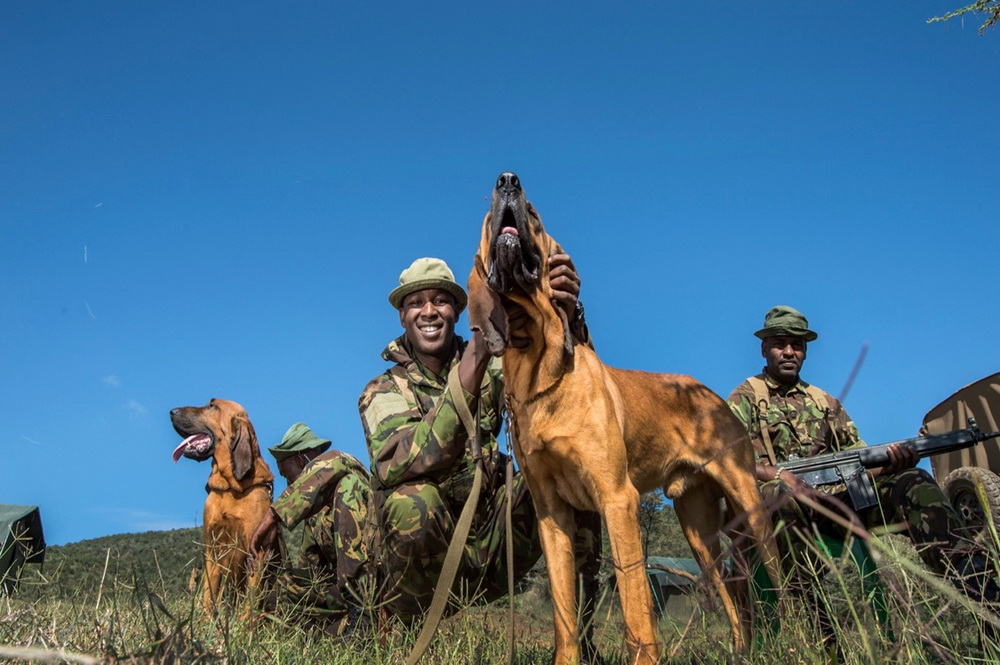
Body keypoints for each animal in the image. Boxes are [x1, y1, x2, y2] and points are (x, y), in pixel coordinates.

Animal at [170, 396, 274, 616]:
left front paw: (245, 624)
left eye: (212, 405)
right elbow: (209, 593)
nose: (172, 412)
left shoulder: (256, 552)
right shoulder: (212, 549)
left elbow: (250, 601)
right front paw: (205, 620)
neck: (230, 488)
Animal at [468, 172, 780, 664]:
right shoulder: (552, 515)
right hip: (698, 527)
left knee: (778, 581)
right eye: (486, 217)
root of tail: (713, 396)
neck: (540, 368)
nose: (507, 180)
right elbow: (564, 616)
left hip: (747, 502)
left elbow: (635, 605)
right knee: (732, 589)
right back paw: (741, 651)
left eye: (534, 214)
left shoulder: (618, 499)